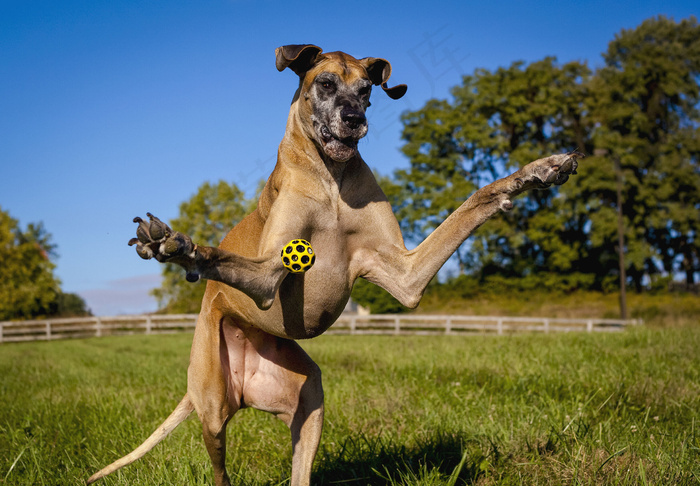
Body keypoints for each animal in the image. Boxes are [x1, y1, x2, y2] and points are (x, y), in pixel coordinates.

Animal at [86, 43, 580, 484]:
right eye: (324, 83)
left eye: (366, 90)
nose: (354, 120)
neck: (332, 182)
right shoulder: (267, 276)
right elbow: (222, 257)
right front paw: (178, 246)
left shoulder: (406, 277)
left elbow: (475, 201)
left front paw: (537, 170)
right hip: (212, 405)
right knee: (219, 467)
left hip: (309, 397)